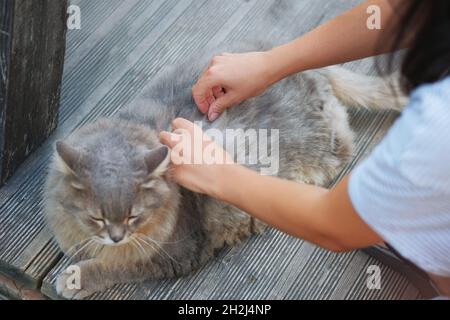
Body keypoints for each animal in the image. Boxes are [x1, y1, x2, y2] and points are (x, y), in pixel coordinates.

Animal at [44, 41, 404, 298]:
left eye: (134, 216)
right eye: (97, 217)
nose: (116, 236)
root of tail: (313, 72)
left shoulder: (176, 252)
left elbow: (117, 266)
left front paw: (76, 278)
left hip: (322, 149)